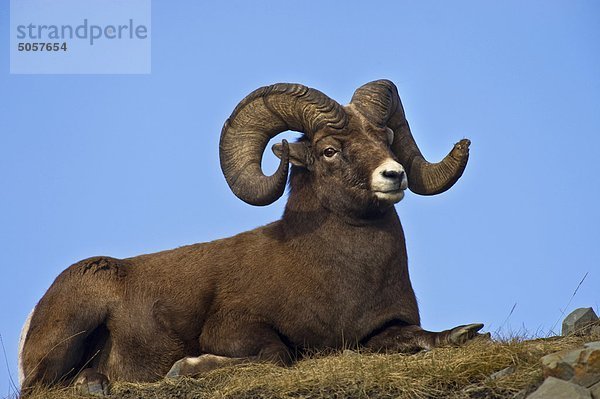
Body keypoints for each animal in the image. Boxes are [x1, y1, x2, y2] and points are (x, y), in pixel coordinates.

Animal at [18, 79, 486, 396]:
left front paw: (462, 333)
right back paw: (93, 384)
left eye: (385, 137)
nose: (394, 175)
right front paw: (186, 367)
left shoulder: (382, 331)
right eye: (329, 150)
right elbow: (277, 356)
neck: (340, 276)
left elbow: (425, 337)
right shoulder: (235, 328)